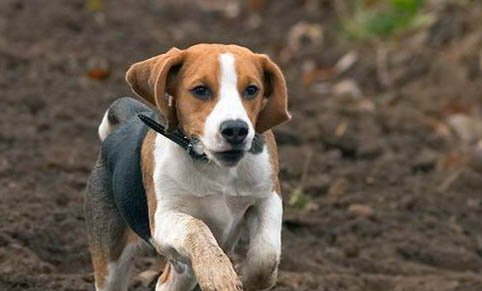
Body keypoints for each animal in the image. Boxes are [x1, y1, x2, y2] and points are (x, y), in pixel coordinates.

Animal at [84, 44, 290, 291]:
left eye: (252, 90)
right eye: (200, 90)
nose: (236, 130)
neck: (214, 165)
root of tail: (126, 121)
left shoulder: (268, 196)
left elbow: (266, 257)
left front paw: (247, 278)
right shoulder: (164, 219)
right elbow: (196, 227)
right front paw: (218, 275)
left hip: (182, 270)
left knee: (169, 280)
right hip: (111, 262)